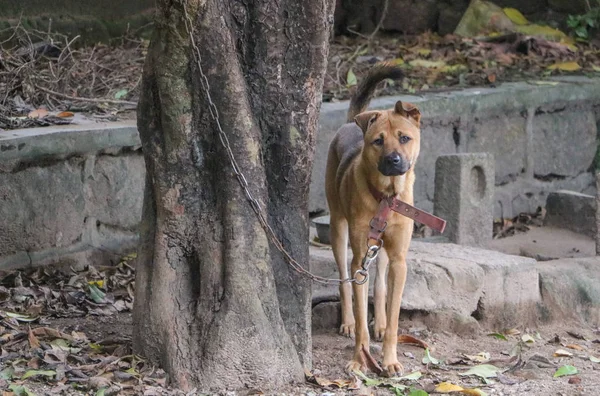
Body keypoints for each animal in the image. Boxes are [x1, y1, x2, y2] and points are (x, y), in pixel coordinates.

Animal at [326, 63, 420, 376]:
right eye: (378, 141)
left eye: (404, 138)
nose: (393, 160)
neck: (386, 197)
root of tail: (348, 124)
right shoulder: (358, 259)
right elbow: (358, 313)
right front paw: (359, 359)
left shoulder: (399, 259)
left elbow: (393, 318)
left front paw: (389, 359)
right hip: (338, 228)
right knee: (344, 281)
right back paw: (347, 321)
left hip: (381, 248)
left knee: (379, 284)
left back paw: (378, 322)